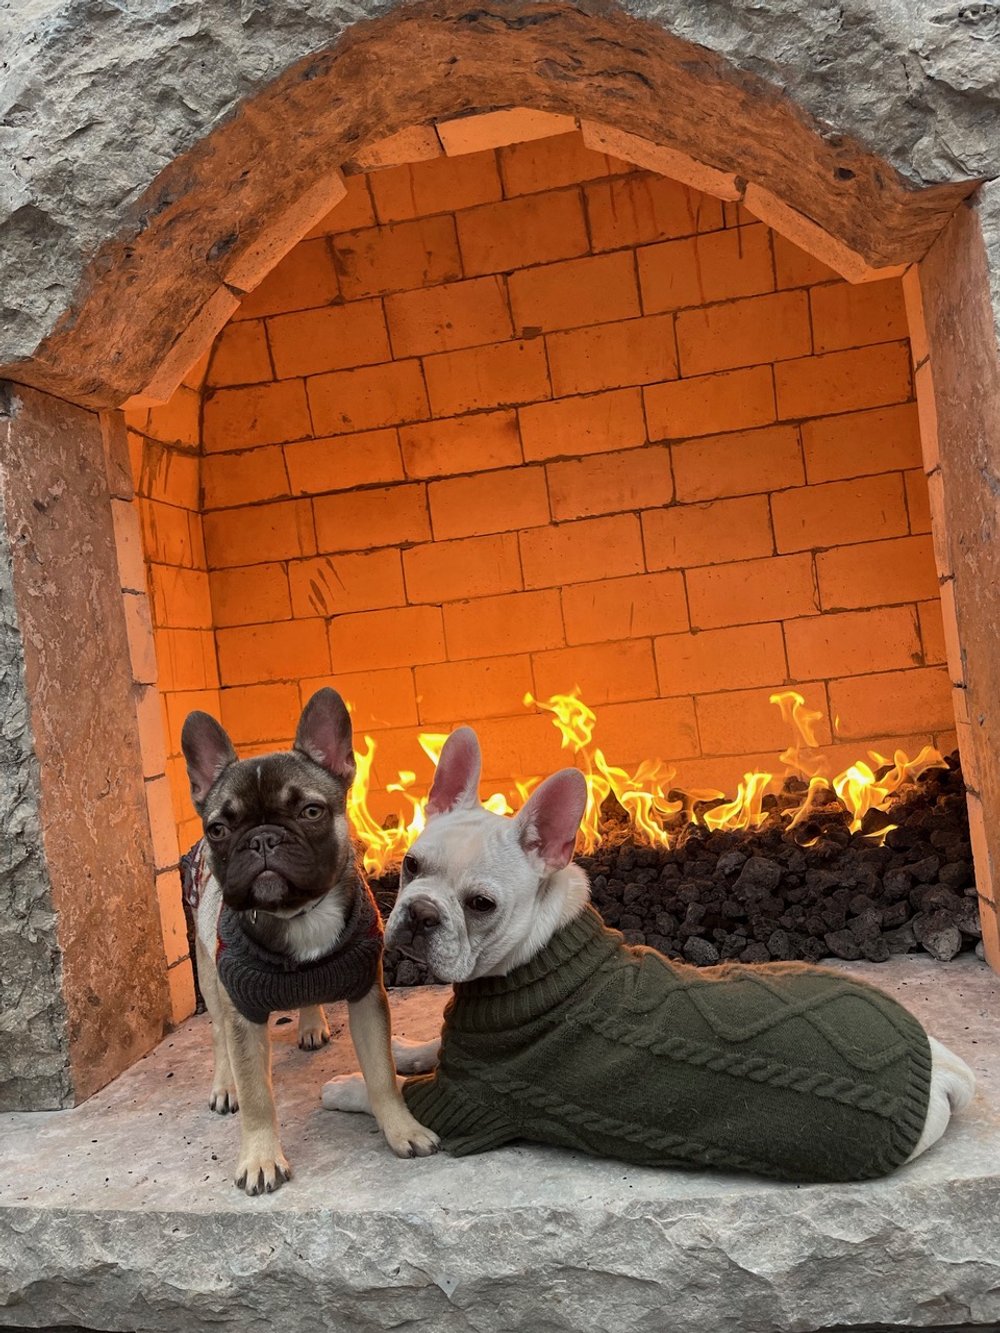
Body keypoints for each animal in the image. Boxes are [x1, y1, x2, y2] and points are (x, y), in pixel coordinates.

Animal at [180, 687, 438, 1196]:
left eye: (311, 812)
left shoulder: (366, 996)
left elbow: (382, 1075)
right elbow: (258, 1096)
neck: (298, 913)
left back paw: (310, 1022)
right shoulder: (242, 1009)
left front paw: (402, 1129)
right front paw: (261, 1157)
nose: (262, 838)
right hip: (210, 977)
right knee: (218, 1033)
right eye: (219, 828)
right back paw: (225, 1084)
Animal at [324, 727, 977, 1183]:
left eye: (481, 905)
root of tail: (944, 1071)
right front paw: (405, 1046)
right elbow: (425, 1047)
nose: (420, 914)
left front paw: (350, 1085)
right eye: (411, 866)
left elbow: (388, 1092)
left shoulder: (466, 1101)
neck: (540, 953)